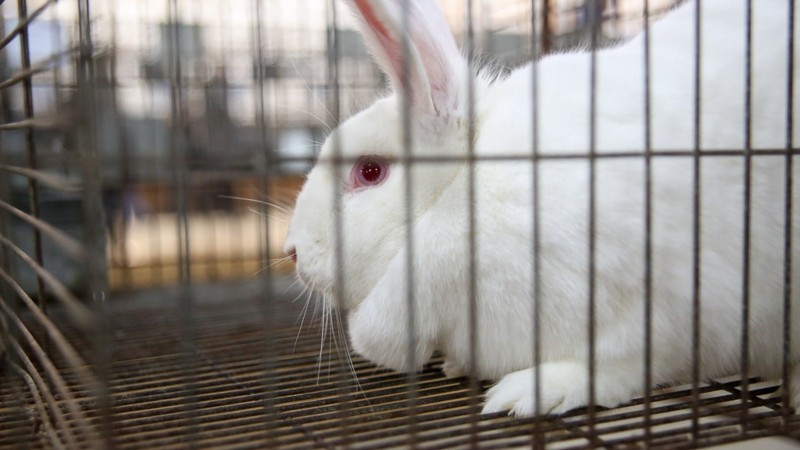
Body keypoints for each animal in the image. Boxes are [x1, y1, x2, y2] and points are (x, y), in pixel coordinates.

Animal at [286, 0, 800, 416]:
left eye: (370, 171)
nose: (291, 251)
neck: (458, 198)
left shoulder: (657, 305)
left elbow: (616, 366)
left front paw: (531, 393)